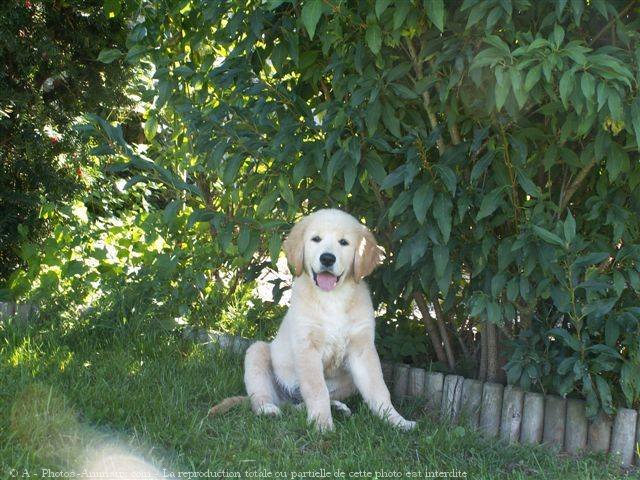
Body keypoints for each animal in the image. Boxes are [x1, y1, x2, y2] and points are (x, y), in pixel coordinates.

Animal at [212, 209, 416, 432]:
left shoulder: (362, 350)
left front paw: (396, 420)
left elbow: (378, 389)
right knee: (262, 397)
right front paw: (322, 424)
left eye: (343, 242)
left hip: (348, 380)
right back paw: (268, 409)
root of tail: (286, 398)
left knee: (301, 405)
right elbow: (316, 389)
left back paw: (337, 407)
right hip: (258, 352)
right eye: (316, 239)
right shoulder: (307, 347)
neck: (333, 298)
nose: (327, 258)